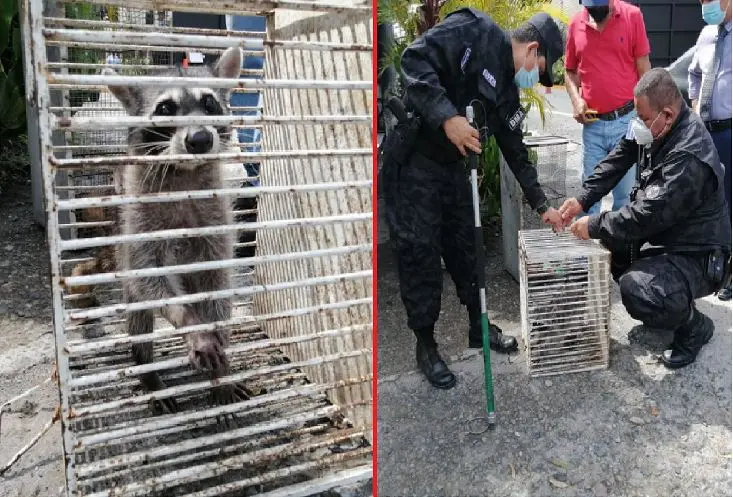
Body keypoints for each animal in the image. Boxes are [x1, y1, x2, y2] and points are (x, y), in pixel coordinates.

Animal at [104, 46, 250, 410]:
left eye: (209, 103)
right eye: (166, 109)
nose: (199, 139)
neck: (186, 174)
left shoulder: (215, 219)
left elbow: (220, 280)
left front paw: (220, 356)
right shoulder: (140, 223)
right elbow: (150, 278)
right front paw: (193, 327)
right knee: (140, 322)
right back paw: (147, 372)